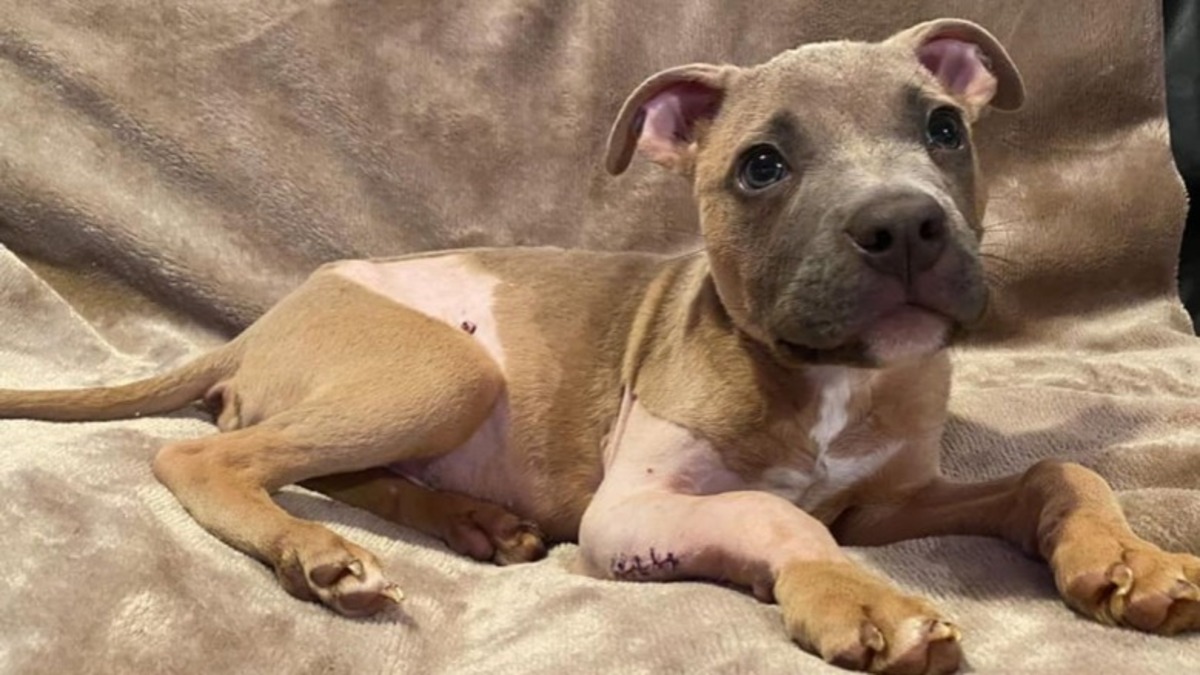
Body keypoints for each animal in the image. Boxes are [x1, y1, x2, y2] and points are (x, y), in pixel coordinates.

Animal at [2, 18, 1200, 667]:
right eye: (761, 166)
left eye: (945, 128)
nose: (905, 225)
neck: (820, 379)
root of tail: (263, 320)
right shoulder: (634, 513)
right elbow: (778, 516)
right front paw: (861, 600)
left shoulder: (890, 500)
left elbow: (1056, 469)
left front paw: (1125, 560)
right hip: (445, 368)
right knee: (206, 456)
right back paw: (316, 552)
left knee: (321, 463)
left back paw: (470, 522)